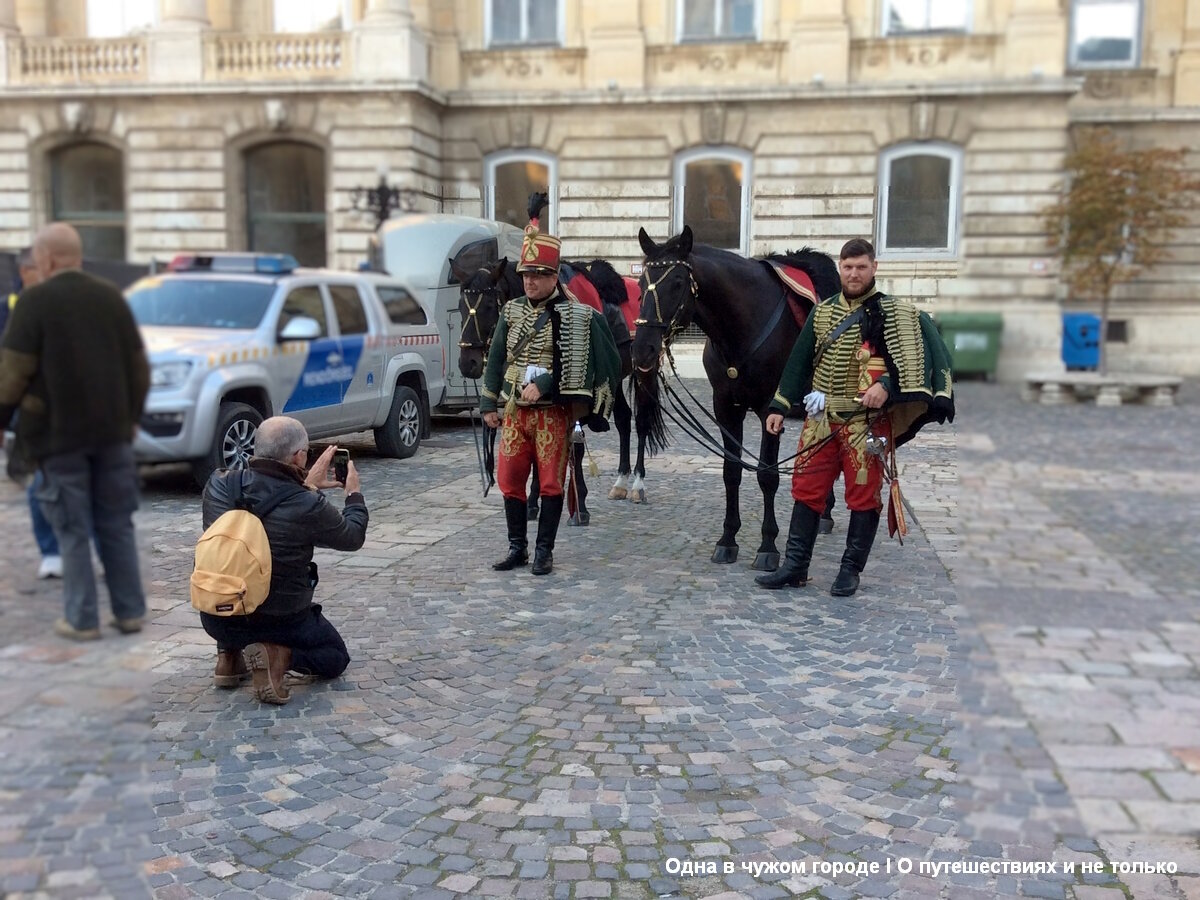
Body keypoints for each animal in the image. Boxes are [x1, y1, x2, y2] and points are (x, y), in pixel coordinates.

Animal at [633, 225, 840, 571]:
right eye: (639, 284)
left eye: (677, 283)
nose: (643, 348)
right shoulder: (726, 408)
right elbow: (731, 471)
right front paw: (728, 538)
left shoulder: (770, 409)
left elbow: (767, 474)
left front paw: (768, 545)